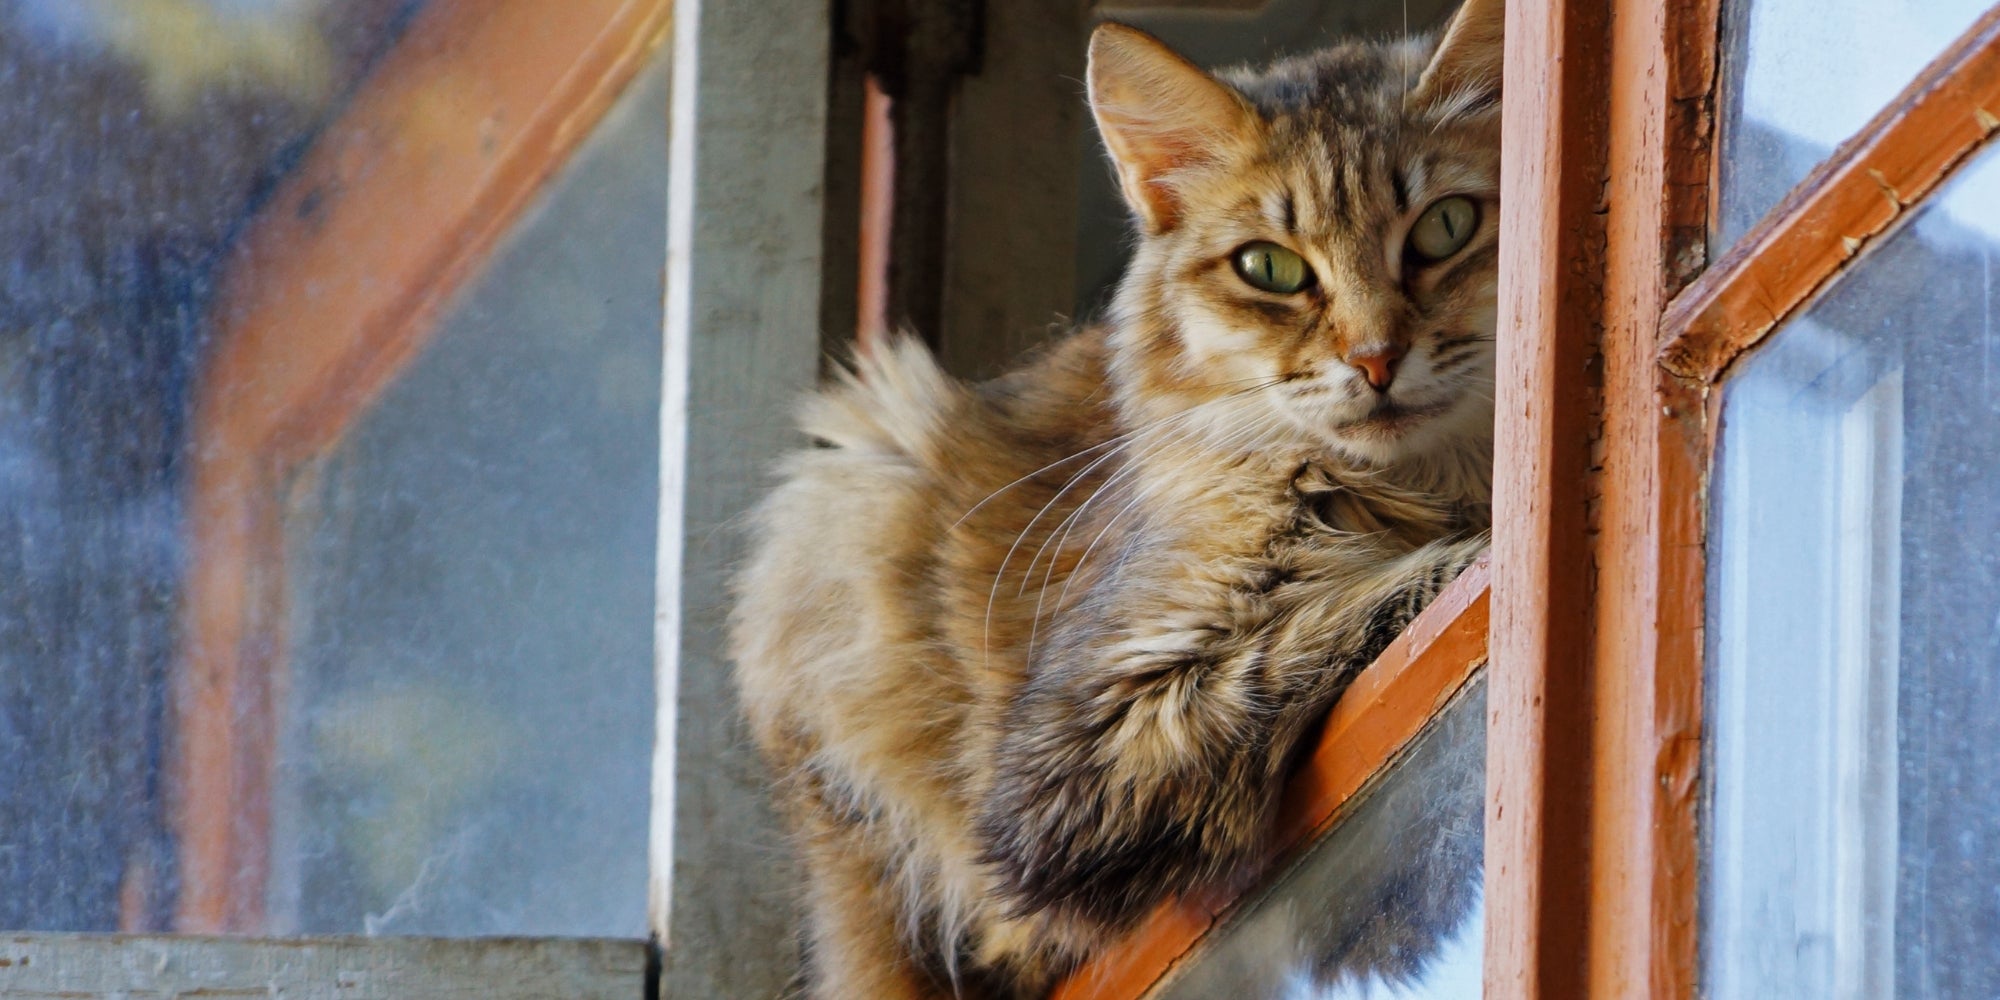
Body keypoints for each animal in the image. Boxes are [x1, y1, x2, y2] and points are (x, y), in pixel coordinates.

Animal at [736, 3, 1504, 996]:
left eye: (1446, 227)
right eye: (1271, 269)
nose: (1376, 359)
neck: (1417, 484)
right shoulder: (1083, 749)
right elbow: (1357, 608)